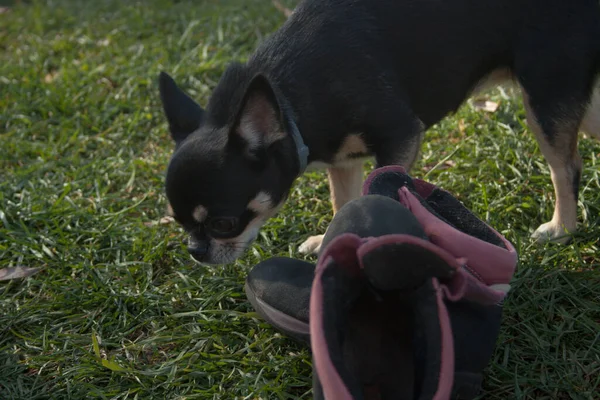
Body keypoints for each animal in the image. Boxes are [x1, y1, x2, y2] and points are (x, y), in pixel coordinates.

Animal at [158, 0, 600, 264]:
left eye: (223, 224)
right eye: (178, 222)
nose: (196, 252)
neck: (288, 98)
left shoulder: (401, 137)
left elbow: (378, 193)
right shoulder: (342, 161)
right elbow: (343, 202)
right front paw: (331, 237)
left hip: (544, 95)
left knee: (566, 168)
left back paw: (563, 228)